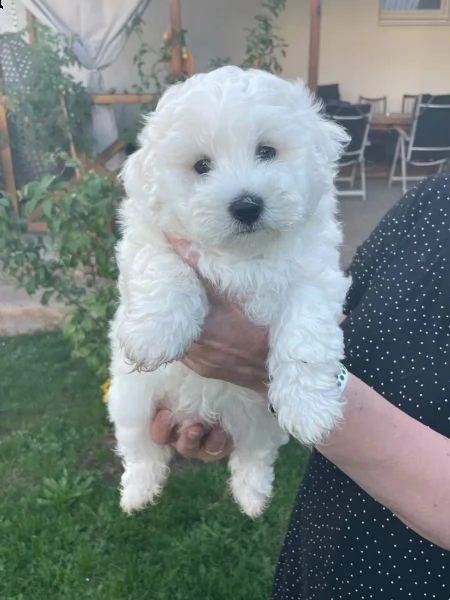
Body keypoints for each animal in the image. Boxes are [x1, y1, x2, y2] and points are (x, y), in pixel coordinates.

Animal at [108, 64, 352, 516]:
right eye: (202, 165)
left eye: (267, 152)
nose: (247, 205)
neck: (242, 256)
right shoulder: (148, 239)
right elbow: (165, 270)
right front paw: (154, 336)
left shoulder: (314, 276)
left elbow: (305, 339)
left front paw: (310, 409)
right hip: (131, 401)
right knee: (140, 449)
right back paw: (138, 492)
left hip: (261, 422)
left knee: (255, 455)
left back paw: (252, 496)